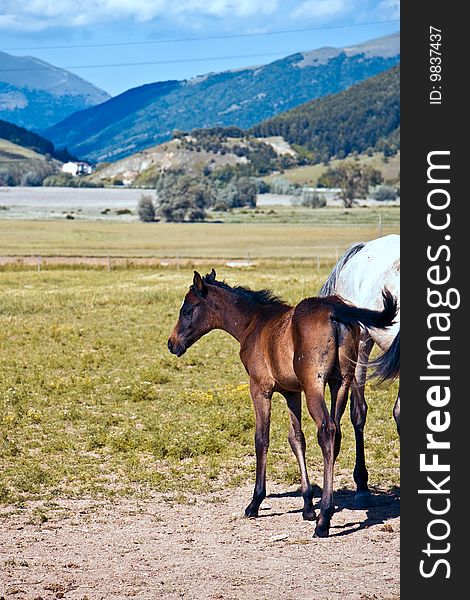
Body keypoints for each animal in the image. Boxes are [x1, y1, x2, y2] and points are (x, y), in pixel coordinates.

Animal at [167, 270, 394, 536]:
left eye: (187, 310)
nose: (172, 344)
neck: (254, 323)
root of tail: (335, 311)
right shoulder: (291, 392)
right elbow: (297, 439)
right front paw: (307, 506)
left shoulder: (260, 388)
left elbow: (261, 439)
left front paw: (255, 502)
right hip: (341, 383)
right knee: (336, 433)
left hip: (315, 385)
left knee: (326, 430)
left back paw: (324, 519)